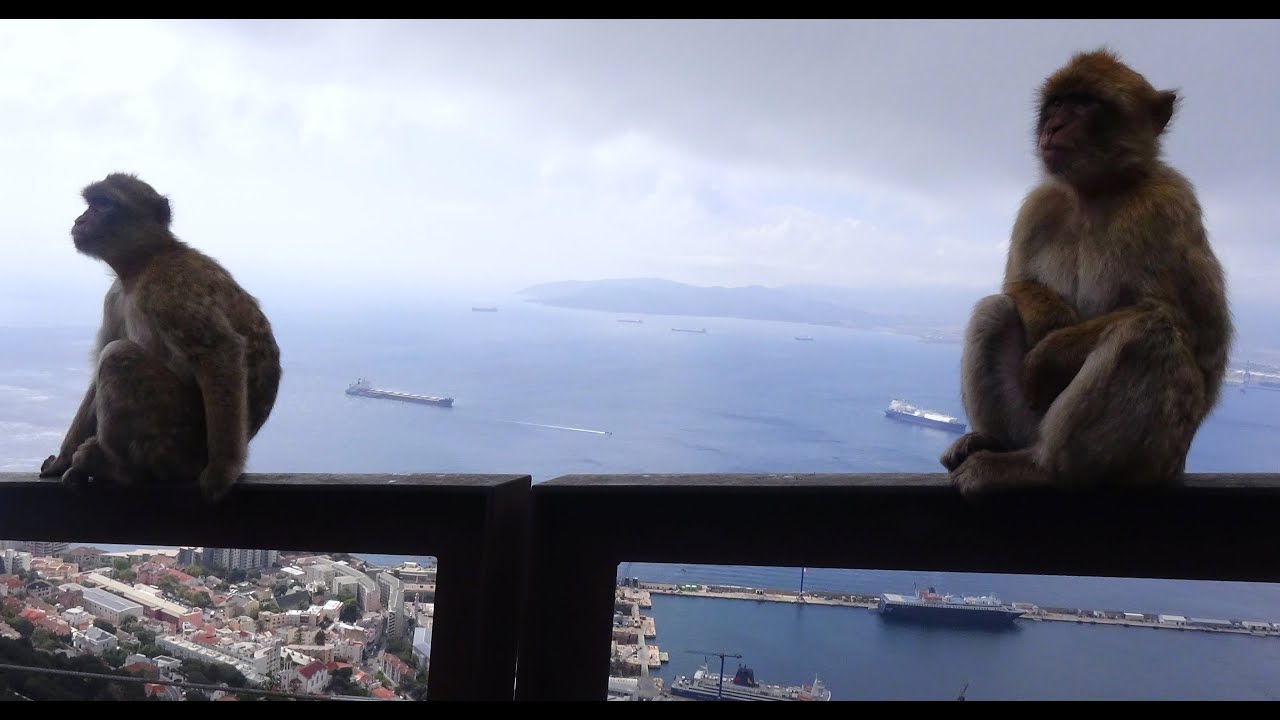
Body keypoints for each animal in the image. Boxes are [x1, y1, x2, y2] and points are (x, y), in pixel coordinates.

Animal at [38, 173, 282, 503]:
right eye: (91, 203)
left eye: (105, 204)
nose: (81, 219)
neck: (141, 265)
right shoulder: (115, 298)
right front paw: (62, 459)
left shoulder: (169, 283)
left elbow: (220, 350)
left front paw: (222, 471)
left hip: (179, 440)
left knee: (118, 357)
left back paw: (116, 469)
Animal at [939, 49, 1232, 496]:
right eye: (1057, 103)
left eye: (1085, 103)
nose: (1053, 125)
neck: (1094, 193)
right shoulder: (1040, 205)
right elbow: (1016, 282)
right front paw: (1050, 320)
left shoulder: (1166, 205)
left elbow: (1197, 330)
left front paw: (1049, 354)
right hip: (1030, 420)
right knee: (994, 310)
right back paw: (991, 441)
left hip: (1157, 456)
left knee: (1148, 334)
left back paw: (1042, 471)